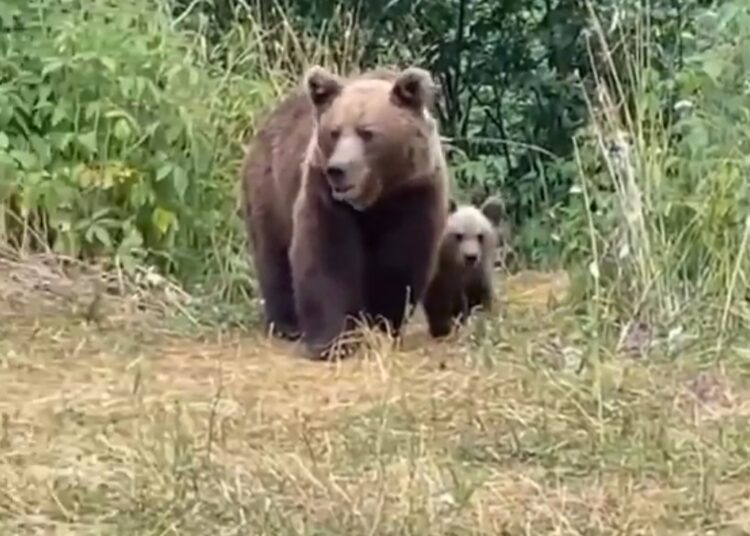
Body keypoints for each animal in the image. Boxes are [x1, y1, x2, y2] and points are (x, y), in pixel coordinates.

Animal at [241, 66, 450, 360]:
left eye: (367, 132)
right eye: (334, 132)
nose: (338, 169)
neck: (374, 198)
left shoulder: (414, 194)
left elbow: (399, 260)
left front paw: (380, 325)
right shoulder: (324, 194)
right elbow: (326, 258)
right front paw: (331, 341)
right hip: (270, 192)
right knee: (273, 256)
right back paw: (287, 324)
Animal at [424, 197, 506, 338]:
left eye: (480, 236)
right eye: (458, 235)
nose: (470, 257)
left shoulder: (480, 278)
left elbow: (483, 302)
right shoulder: (442, 280)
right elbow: (439, 305)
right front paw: (444, 328)